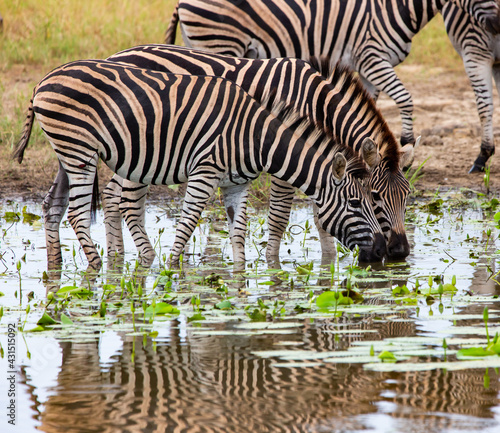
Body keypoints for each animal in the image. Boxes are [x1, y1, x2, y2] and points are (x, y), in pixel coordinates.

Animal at [13, 57, 384, 270]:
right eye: (356, 204)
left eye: (373, 199)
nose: (383, 251)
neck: (254, 136)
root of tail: (43, 81)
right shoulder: (205, 172)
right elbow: (188, 223)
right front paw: (171, 271)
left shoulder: (237, 185)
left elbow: (239, 234)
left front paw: (239, 280)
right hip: (80, 155)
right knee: (78, 214)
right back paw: (97, 271)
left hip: (70, 154)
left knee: (54, 205)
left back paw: (58, 267)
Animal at [103, 44, 412, 264]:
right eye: (376, 198)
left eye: (407, 196)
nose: (399, 251)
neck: (315, 103)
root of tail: (117, 55)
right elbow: (279, 216)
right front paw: (271, 263)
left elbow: (320, 216)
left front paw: (328, 263)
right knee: (124, 198)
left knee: (110, 194)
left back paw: (116, 257)